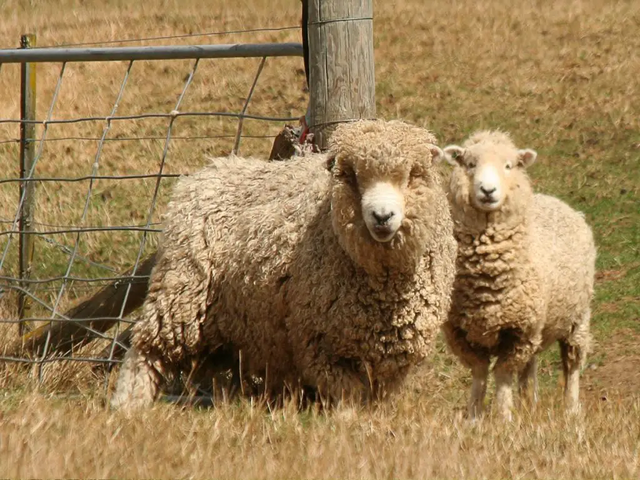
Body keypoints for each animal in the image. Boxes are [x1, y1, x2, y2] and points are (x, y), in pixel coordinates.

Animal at [111, 119, 457, 410]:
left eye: (413, 174)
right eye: (351, 176)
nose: (382, 217)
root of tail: (203, 174)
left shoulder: (394, 359)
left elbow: (376, 400)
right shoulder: (320, 345)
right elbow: (348, 396)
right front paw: (348, 426)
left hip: (230, 319)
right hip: (180, 293)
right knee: (146, 351)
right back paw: (128, 406)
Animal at [433, 130, 596, 420]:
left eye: (508, 166)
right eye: (470, 164)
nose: (488, 190)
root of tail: (556, 201)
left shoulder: (518, 331)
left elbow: (503, 374)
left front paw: (504, 416)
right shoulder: (459, 330)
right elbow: (479, 372)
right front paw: (473, 416)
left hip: (578, 317)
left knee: (572, 364)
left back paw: (570, 409)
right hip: (538, 326)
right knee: (530, 366)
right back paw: (529, 404)